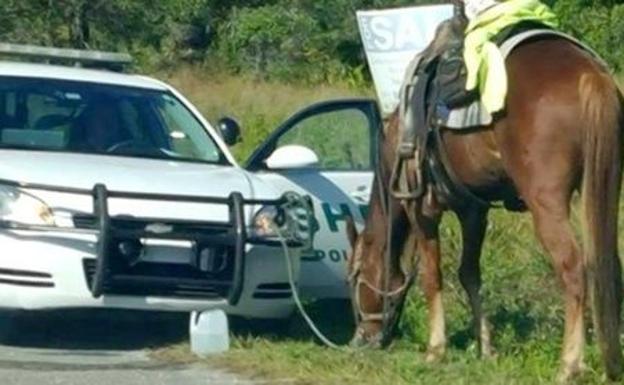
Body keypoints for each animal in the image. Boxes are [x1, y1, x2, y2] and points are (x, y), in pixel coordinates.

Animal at [346, 13, 624, 382]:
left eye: (354, 279)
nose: (360, 338)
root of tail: (589, 73)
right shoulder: (473, 210)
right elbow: (469, 274)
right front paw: (486, 348)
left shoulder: (421, 208)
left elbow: (432, 276)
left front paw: (435, 349)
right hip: (604, 187)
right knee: (610, 265)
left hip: (547, 204)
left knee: (573, 268)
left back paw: (569, 364)